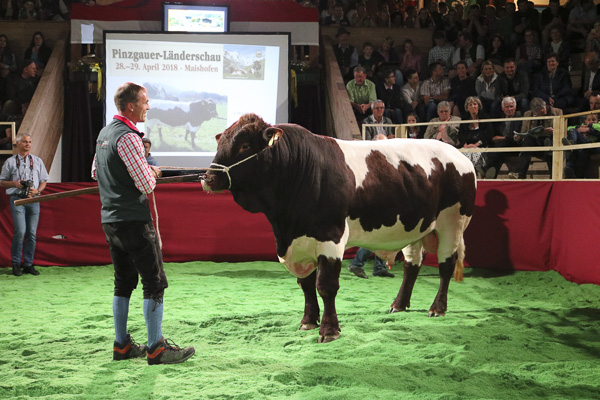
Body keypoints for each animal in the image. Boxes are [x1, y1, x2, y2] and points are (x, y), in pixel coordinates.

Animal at [204, 114, 476, 342]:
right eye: (220, 143)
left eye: (244, 146)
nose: (208, 177)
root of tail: (461, 156)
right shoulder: (300, 242)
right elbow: (306, 284)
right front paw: (308, 321)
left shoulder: (330, 237)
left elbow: (325, 285)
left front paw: (329, 330)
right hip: (417, 227)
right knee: (412, 265)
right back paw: (398, 304)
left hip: (452, 224)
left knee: (446, 265)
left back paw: (437, 308)